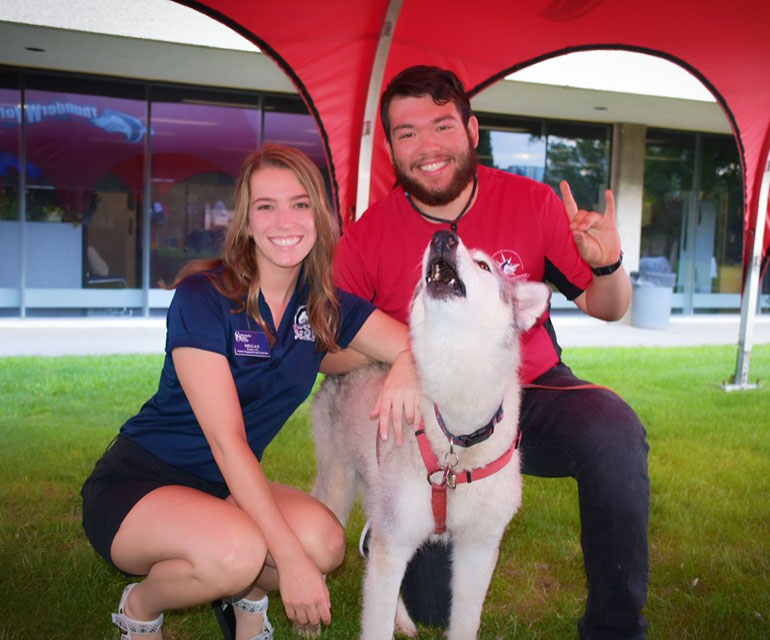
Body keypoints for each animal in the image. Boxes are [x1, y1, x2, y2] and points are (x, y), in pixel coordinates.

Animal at [308, 230, 548, 640]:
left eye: (484, 265)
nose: (443, 237)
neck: (458, 439)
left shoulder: (478, 550)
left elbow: (465, 623)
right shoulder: (395, 539)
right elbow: (375, 625)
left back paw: (403, 620)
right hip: (338, 490)